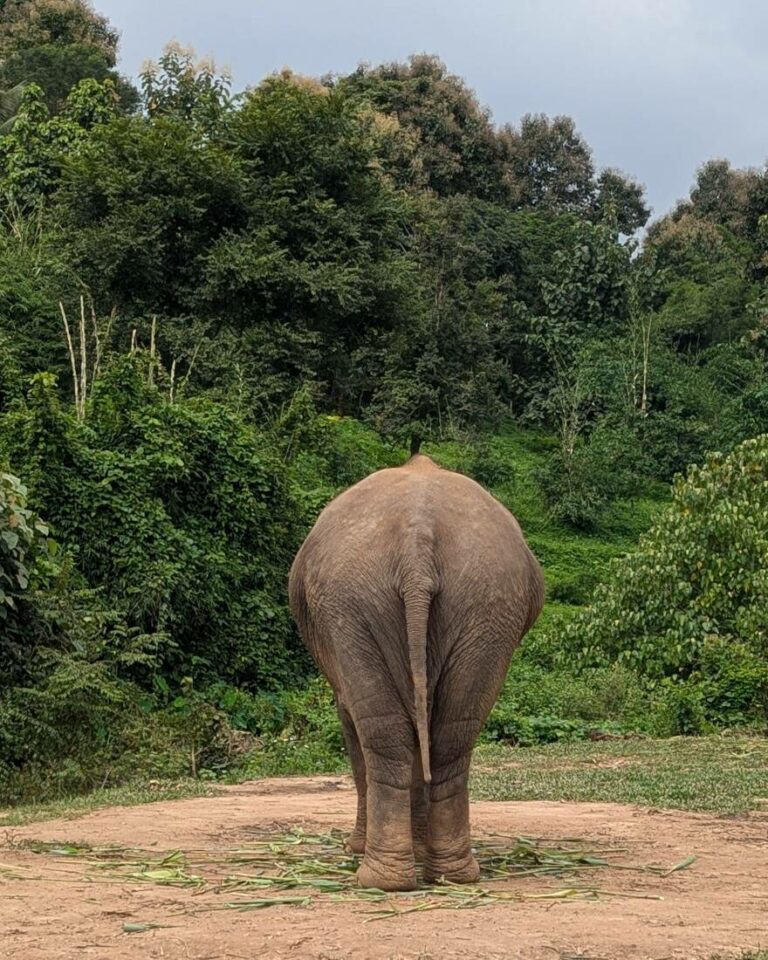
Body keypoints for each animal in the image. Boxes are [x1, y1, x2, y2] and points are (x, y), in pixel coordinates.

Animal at [288, 450, 544, 892]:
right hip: (484, 607)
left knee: (382, 730)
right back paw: (450, 875)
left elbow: (351, 719)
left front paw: (357, 849)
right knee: (452, 733)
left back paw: (380, 879)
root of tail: (416, 547)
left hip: (354, 609)